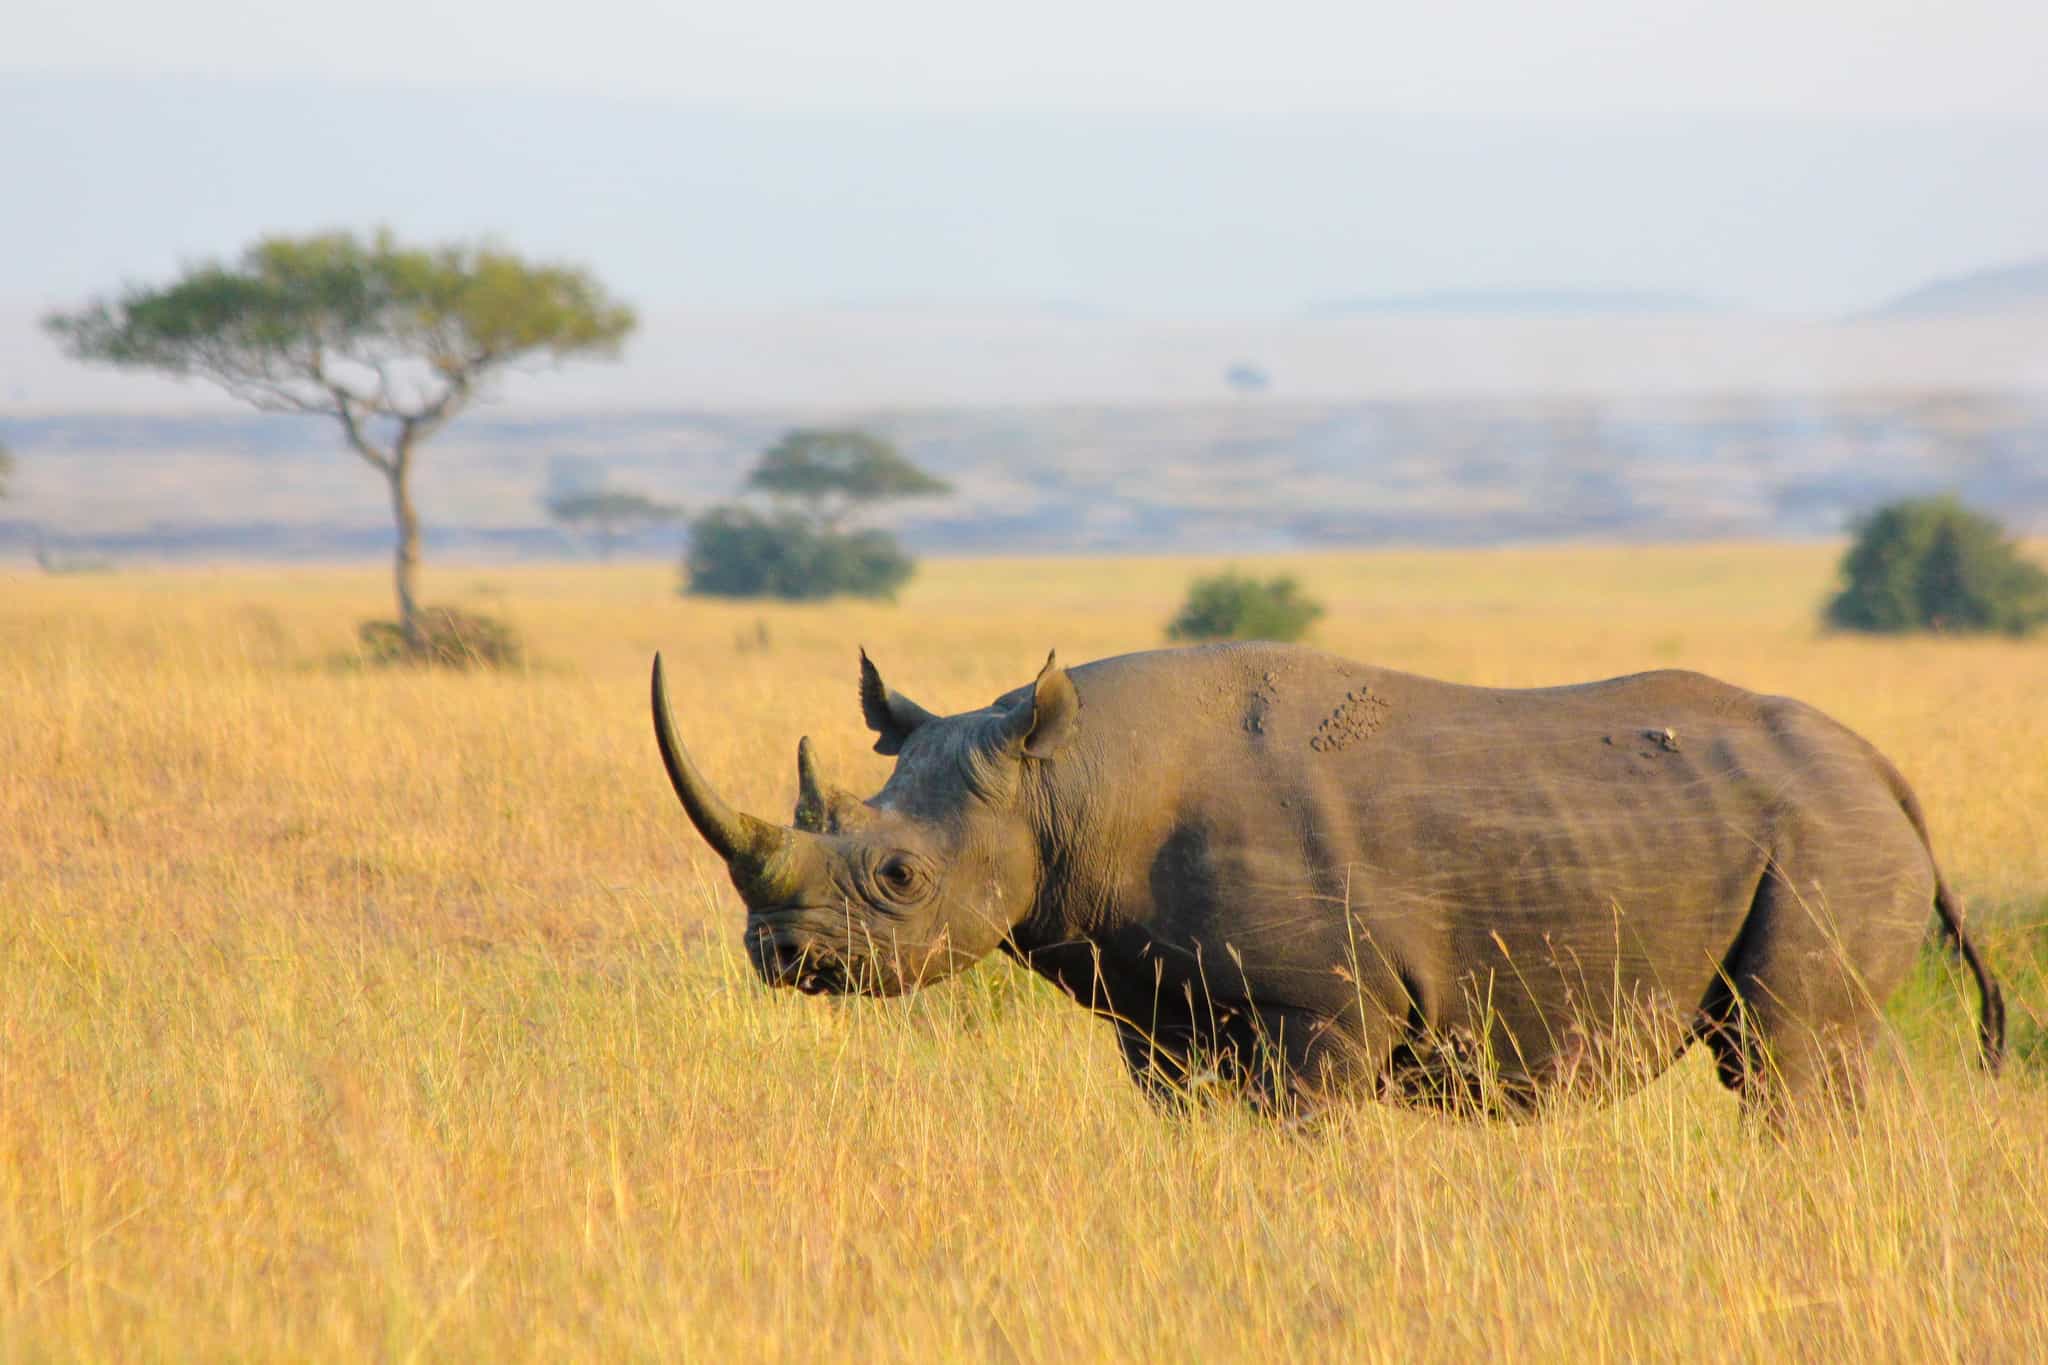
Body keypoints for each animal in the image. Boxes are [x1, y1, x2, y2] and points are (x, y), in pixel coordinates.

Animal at [651, 643, 2004, 1122]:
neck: (1061, 784)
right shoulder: (1165, 1011)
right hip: (1808, 828)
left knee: (1781, 1052)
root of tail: (1883, 772)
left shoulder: (1324, 1009)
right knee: (1821, 1047)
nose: (781, 957)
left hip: (1823, 831)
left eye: (896, 875)